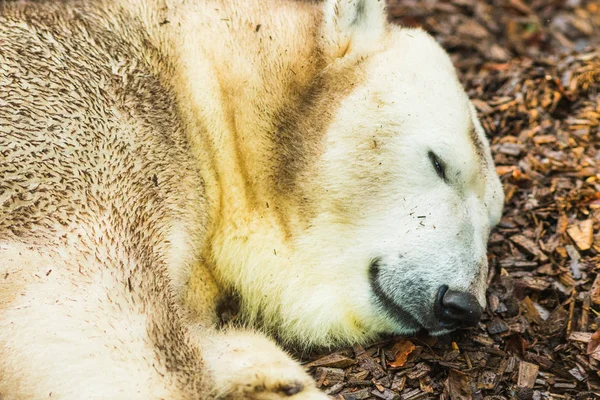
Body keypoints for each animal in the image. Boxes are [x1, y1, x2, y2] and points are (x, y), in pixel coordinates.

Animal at [0, 0, 504, 398]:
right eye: (439, 162)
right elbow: (90, 308)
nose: (462, 304)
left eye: (493, 219)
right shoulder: (90, 130)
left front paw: (269, 376)